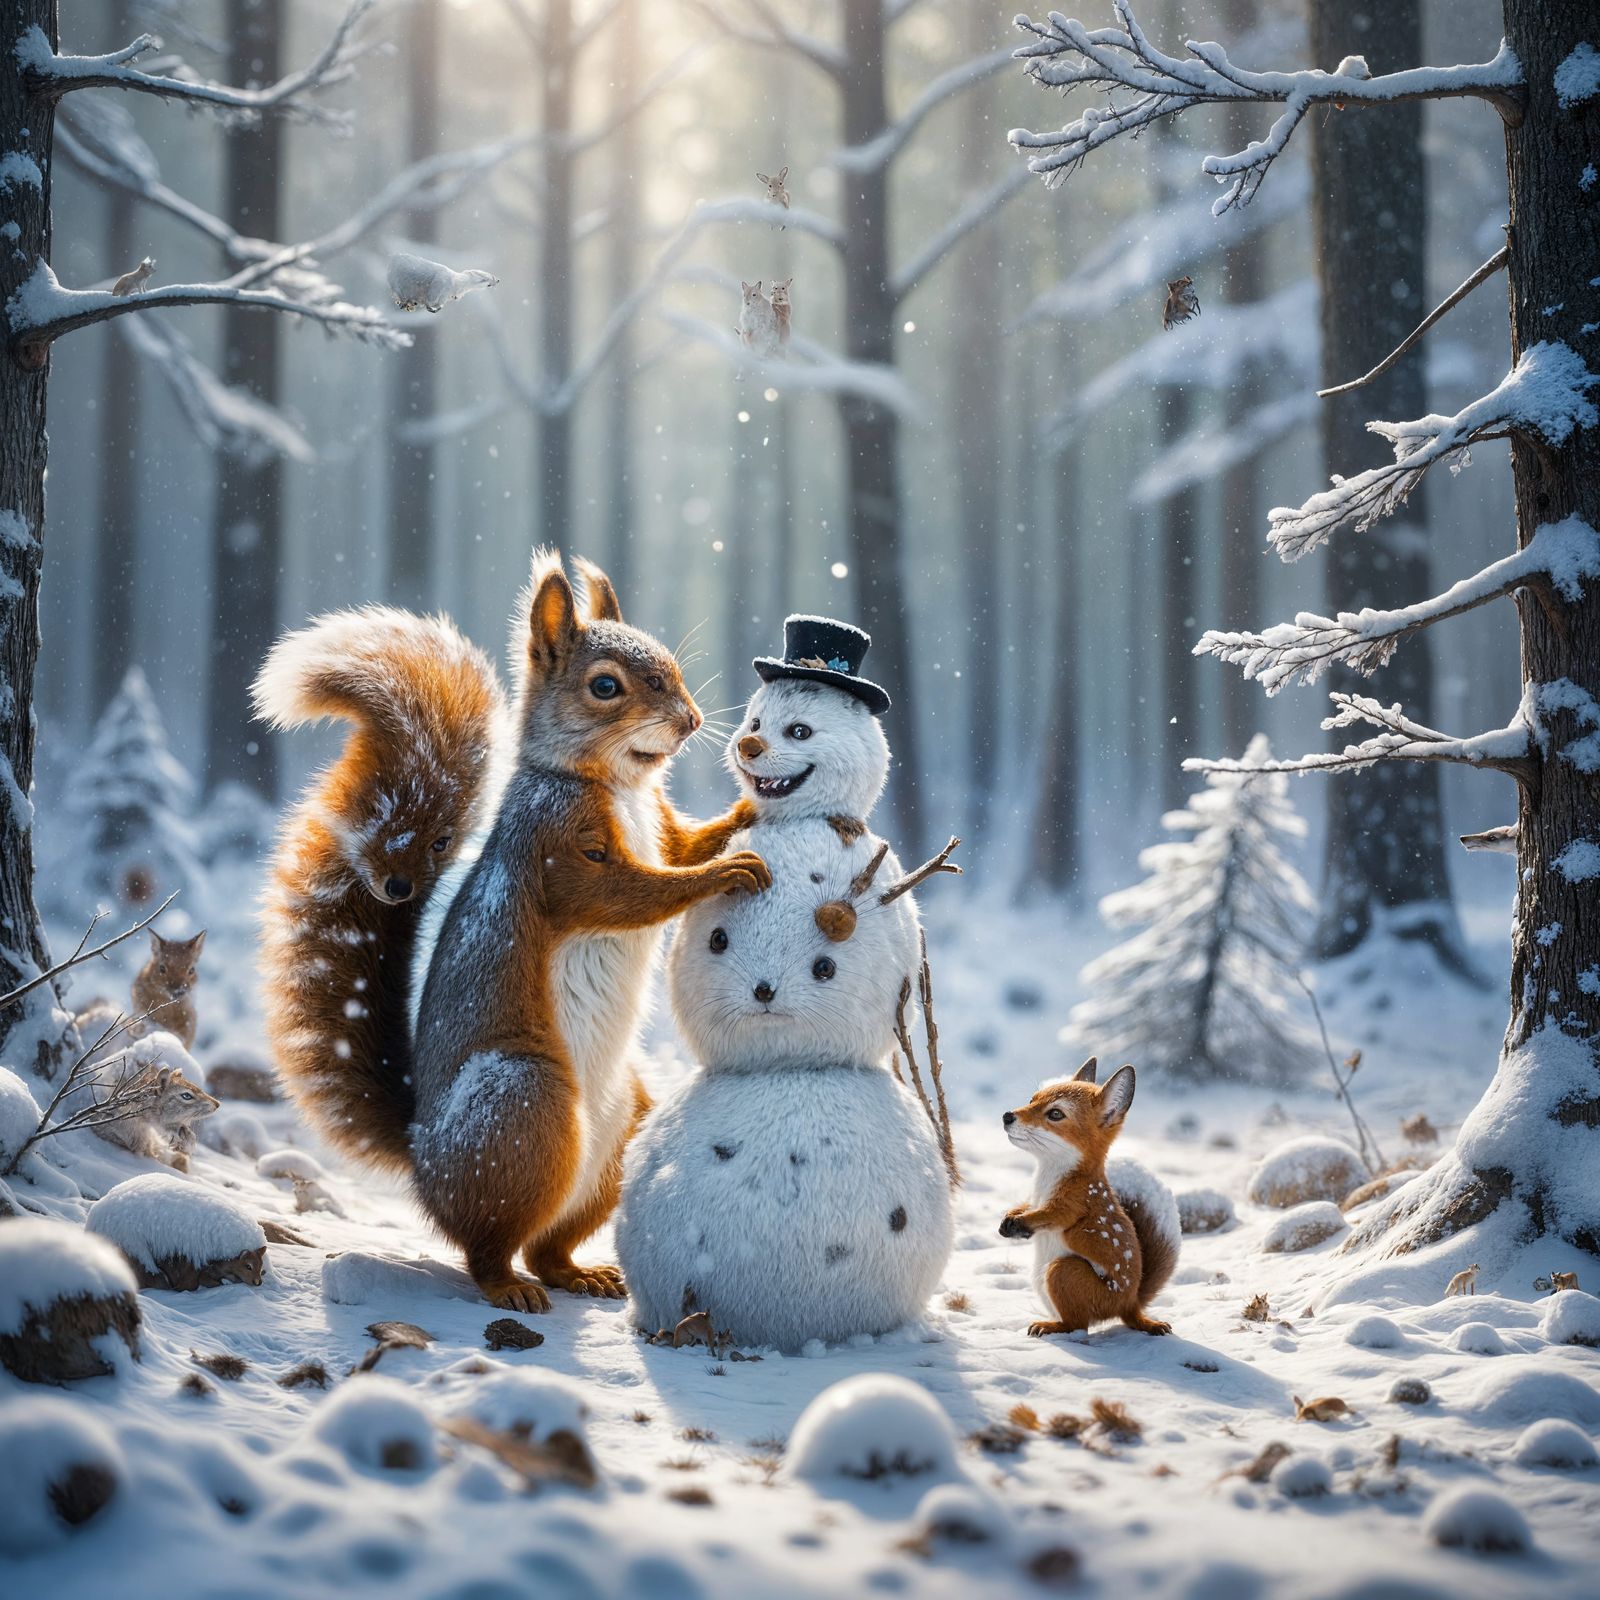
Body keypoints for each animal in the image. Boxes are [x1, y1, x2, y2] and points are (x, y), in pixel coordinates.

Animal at [404, 550, 769, 1313]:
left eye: (674, 667)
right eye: (605, 687)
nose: (691, 720)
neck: (618, 785)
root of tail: (424, 1172)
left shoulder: (659, 828)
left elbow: (681, 848)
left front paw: (742, 813)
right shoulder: (557, 851)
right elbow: (631, 895)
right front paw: (726, 870)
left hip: (624, 1128)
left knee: (547, 1247)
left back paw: (580, 1273)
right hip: (523, 1099)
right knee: (488, 1247)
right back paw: (506, 1286)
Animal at [1000, 1059, 1179, 1338]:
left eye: (1055, 1114)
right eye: (1032, 1099)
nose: (1007, 1116)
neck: (1045, 1181)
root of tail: (1131, 1303)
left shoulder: (1072, 1204)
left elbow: (1049, 1216)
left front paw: (1019, 1225)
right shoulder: (1034, 1199)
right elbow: (1025, 1207)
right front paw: (1010, 1217)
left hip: (1061, 1271)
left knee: (1077, 1325)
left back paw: (1049, 1326)